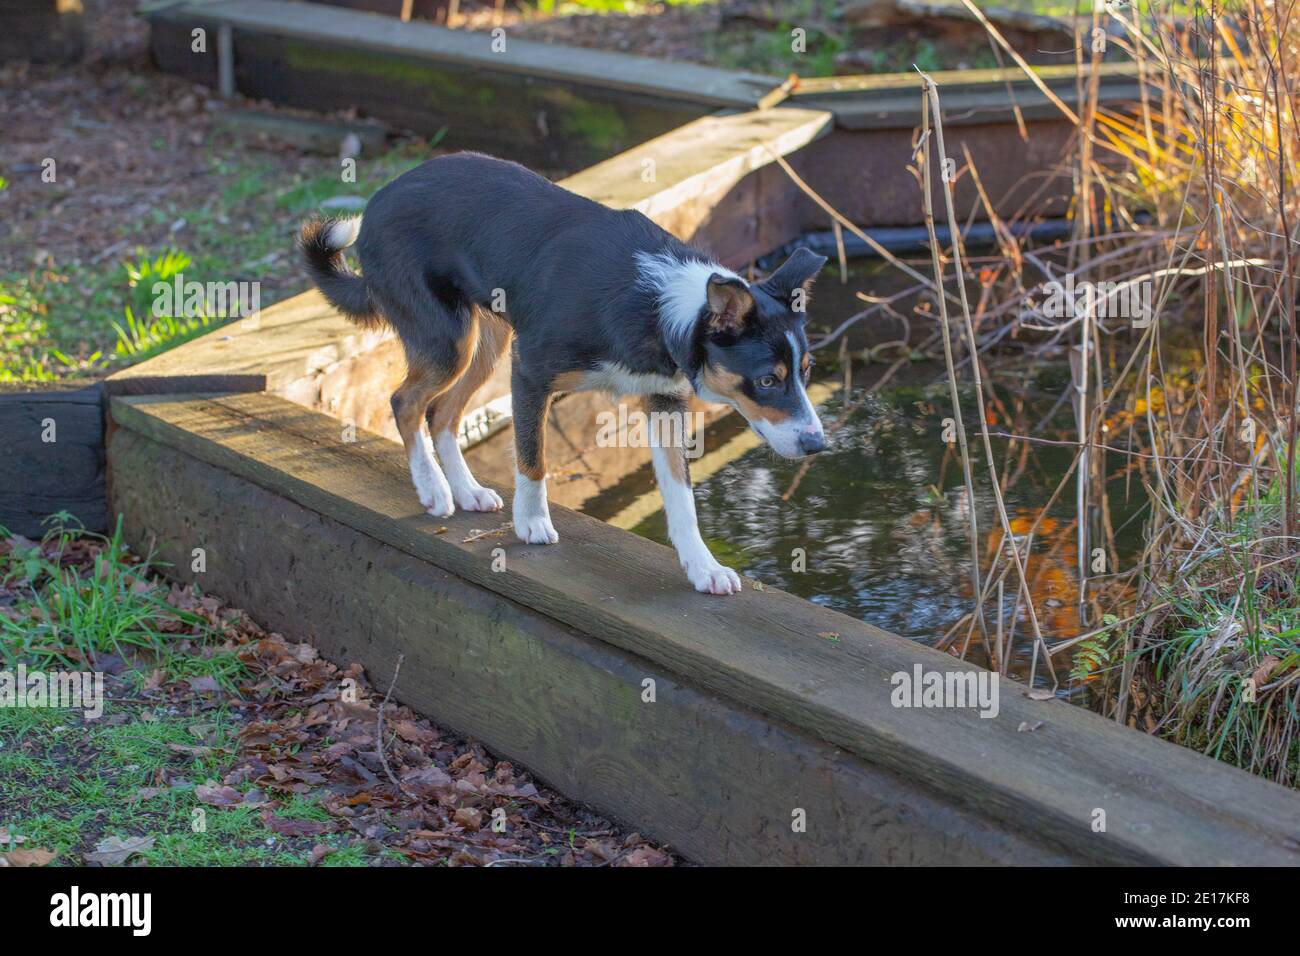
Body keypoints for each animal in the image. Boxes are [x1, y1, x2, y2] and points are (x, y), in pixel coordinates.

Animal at [299, 152, 826, 595]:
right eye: (767, 380)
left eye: (805, 371)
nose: (817, 445)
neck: (656, 303)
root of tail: (380, 199)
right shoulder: (530, 372)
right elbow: (533, 458)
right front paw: (531, 522)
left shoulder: (664, 401)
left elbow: (682, 496)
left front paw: (702, 566)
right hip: (448, 339)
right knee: (406, 403)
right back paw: (433, 489)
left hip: (485, 342)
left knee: (442, 413)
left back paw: (466, 490)